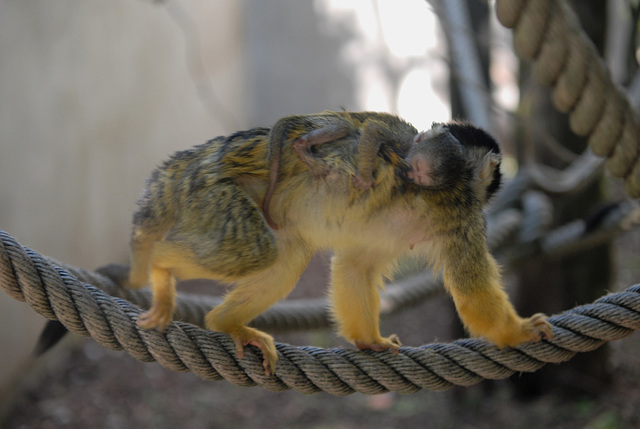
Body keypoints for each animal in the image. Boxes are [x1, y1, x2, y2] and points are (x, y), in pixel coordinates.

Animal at [127, 110, 552, 374]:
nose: (409, 173)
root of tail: (205, 158)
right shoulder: (462, 214)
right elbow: (472, 291)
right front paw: (519, 331)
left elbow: (356, 266)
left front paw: (370, 340)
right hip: (217, 194)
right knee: (253, 250)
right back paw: (161, 267)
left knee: (284, 257)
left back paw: (225, 322)